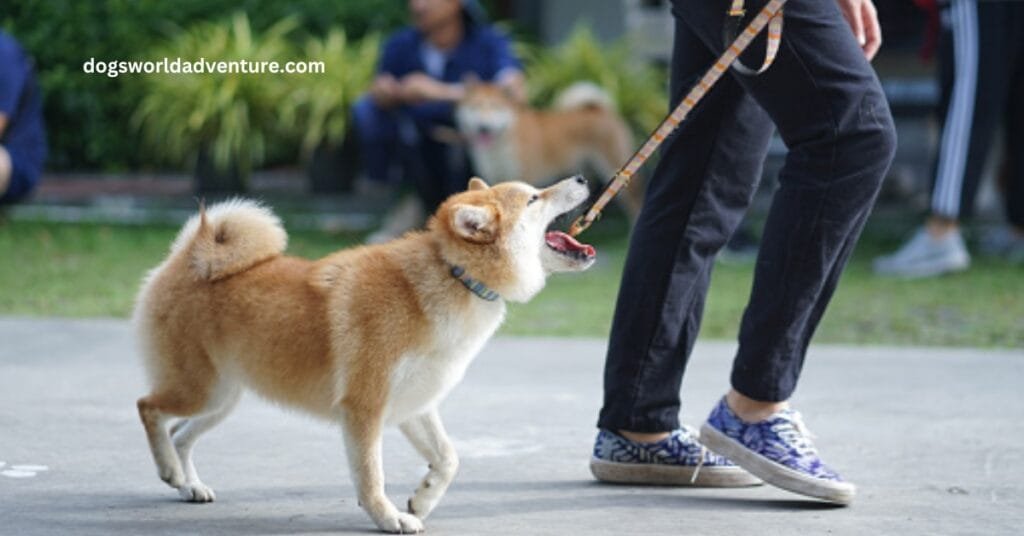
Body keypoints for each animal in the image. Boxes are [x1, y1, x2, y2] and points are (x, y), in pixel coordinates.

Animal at [137, 176, 598, 532]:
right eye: (534, 197)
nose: (581, 178)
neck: (453, 275)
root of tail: (187, 258)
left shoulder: (415, 403)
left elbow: (448, 459)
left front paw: (422, 499)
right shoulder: (365, 407)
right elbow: (372, 477)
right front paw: (389, 518)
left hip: (222, 399)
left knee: (180, 435)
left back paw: (188, 484)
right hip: (201, 391)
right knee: (149, 409)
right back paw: (169, 471)